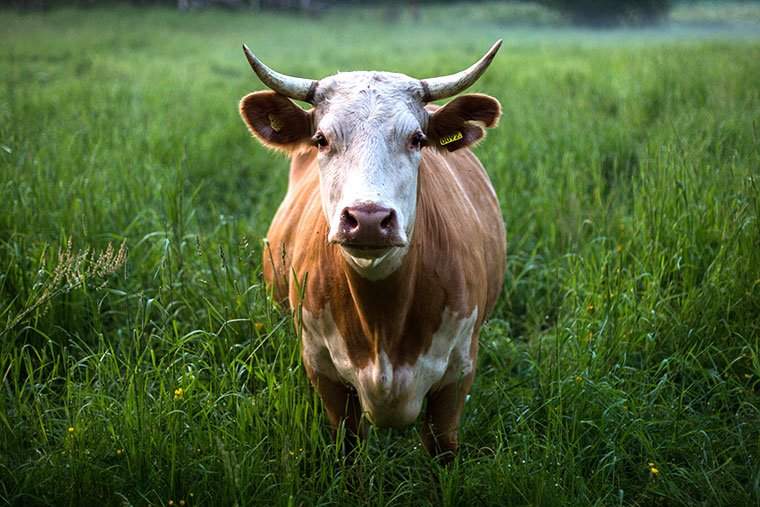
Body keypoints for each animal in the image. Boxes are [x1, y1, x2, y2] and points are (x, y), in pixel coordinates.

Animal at [240, 41, 508, 462]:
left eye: (417, 139)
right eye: (321, 139)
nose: (368, 218)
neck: (383, 322)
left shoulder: (457, 377)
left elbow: (442, 450)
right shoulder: (324, 374)